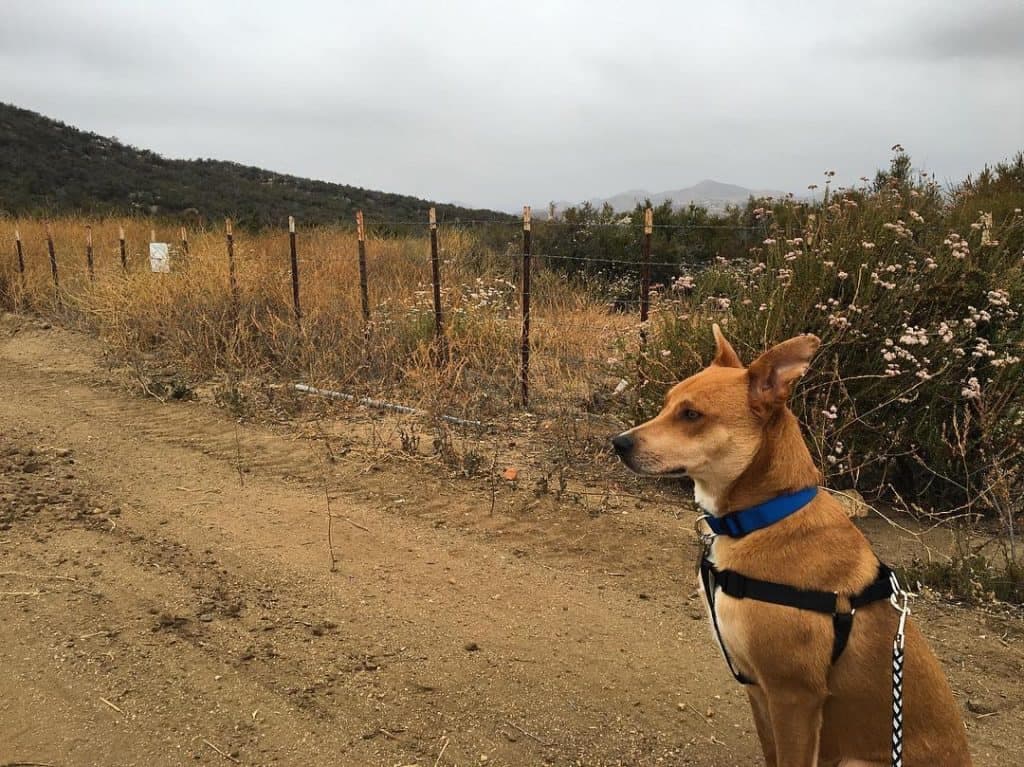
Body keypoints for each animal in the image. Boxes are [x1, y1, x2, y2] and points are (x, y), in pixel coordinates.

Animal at [610, 323, 970, 765]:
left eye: (691, 415)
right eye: (666, 405)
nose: (618, 442)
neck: (763, 519)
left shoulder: (794, 697)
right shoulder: (757, 688)